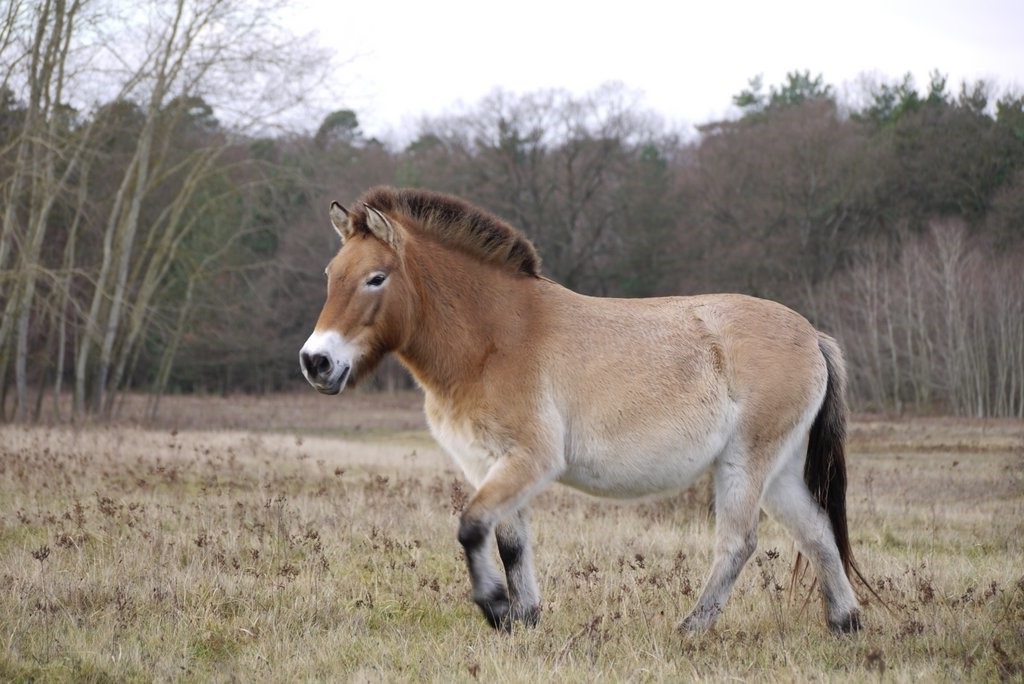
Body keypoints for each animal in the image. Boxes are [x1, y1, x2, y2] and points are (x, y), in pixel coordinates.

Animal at [300, 186, 866, 633]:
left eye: (375, 278)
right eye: (329, 274)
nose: (316, 362)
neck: (494, 340)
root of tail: (812, 335)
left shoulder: (529, 460)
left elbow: (472, 526)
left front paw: (496, 609)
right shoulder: (490, 463)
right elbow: (510, 542)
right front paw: (524, 620)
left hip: (745, 464)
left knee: (738, 543)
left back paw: (690, 629)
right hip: (779, 471)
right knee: (817, 534)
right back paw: (845, 623)